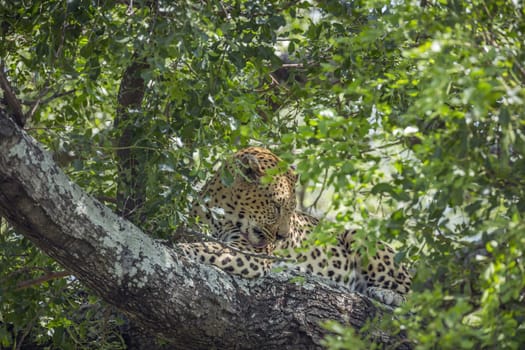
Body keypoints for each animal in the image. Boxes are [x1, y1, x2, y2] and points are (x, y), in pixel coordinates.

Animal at [178, 146, 412, 304]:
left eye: (291, 209)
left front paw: (182, 250)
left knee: (411, 295)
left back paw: (387, 294)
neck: (223, 212)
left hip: (359, 236)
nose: (282, 236)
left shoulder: (252, 254)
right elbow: (205, 244)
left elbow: (209, 249)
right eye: (275, 206)